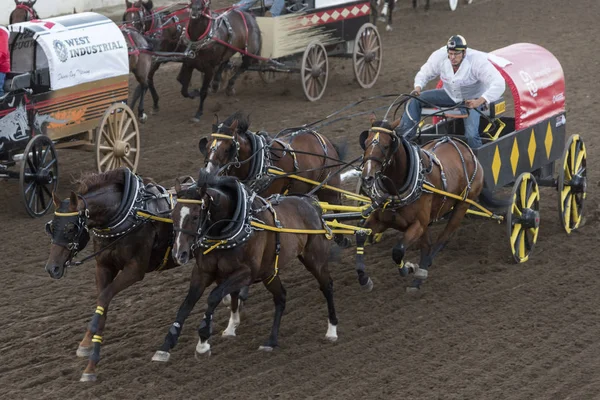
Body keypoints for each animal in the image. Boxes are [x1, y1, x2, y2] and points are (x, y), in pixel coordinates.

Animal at [44, 167, 182, 382]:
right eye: (51, 227)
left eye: (71, 227)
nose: (52, 268)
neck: (128, 214)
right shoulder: (103, 266)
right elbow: (102, 301)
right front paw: (87, 347)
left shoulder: (135, 269)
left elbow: (105, 296)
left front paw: (89, 355)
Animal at [150, 170, 338, 360]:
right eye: (172, 215)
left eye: (195, 216)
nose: (178, 254)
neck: (228, 231)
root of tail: (312, 203)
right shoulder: (203, 272)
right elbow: (187, 304)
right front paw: (165, 346)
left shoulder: (246, 273)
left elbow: (213, 296)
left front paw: (203, 342)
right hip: (269, 272)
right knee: (281, 297)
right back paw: (271, 341)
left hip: (314, 260)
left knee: (327, 286)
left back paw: (332, 330)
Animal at [358, 117, 504, 290]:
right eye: (365, 142)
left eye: (386, 146)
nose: (367, 177)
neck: (396, 191)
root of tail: (466, 149)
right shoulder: (381, 220)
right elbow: (360, 236)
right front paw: (364, 279)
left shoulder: (418, 225)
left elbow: (398, 251)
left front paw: (409, 268)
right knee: (428, 245)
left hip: (462, 206)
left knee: (443, 238)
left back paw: (422, 270)